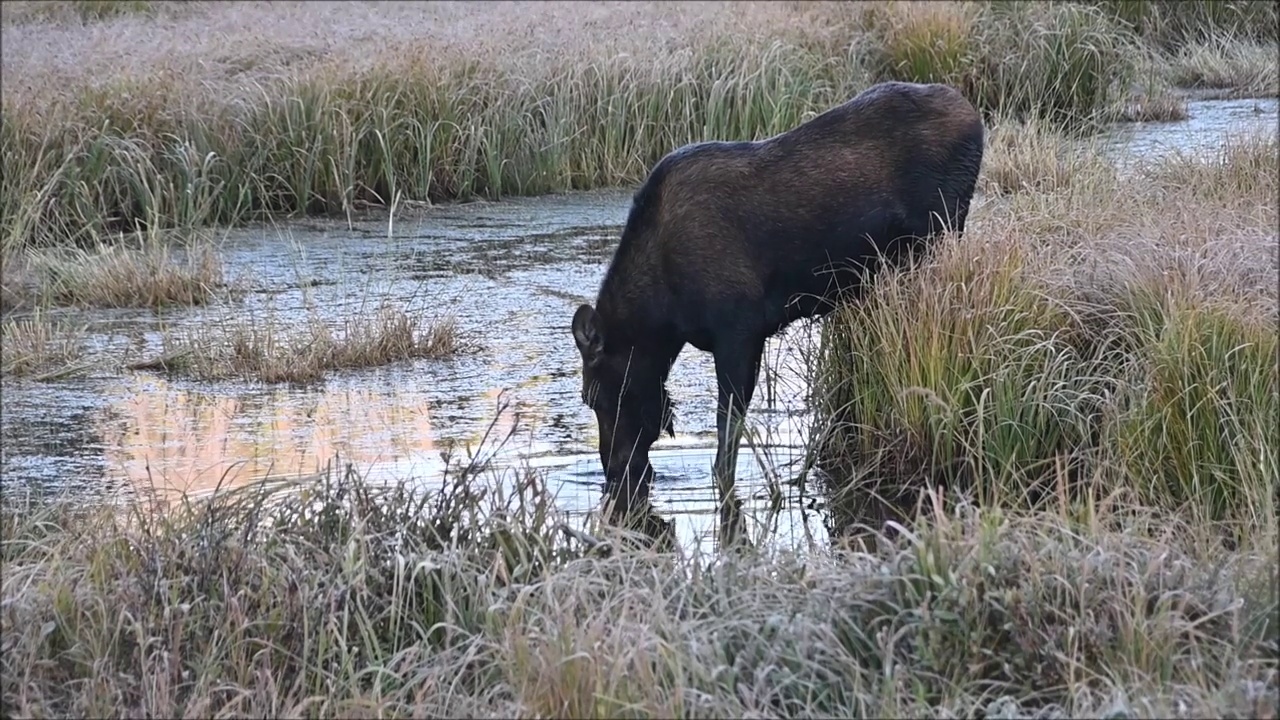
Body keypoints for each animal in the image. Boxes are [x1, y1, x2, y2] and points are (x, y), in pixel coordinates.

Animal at [576, 79, 983, 527]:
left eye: (592, 396)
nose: (613, 471)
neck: (663, 316)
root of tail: (975, 117)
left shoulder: (740, 329)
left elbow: (728, 430)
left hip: (942, 228)